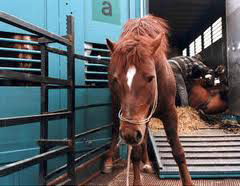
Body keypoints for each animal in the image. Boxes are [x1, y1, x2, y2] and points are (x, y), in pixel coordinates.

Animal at [103, 15, 193, 186]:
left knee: (143, 138)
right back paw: (109, 162)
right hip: (117, 110)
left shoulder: (170, 113)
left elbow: (178, 151)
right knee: (115, 131)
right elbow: (135, 153)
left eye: (151, 78)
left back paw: (146, 163)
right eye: (115, 80)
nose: (129, 135)